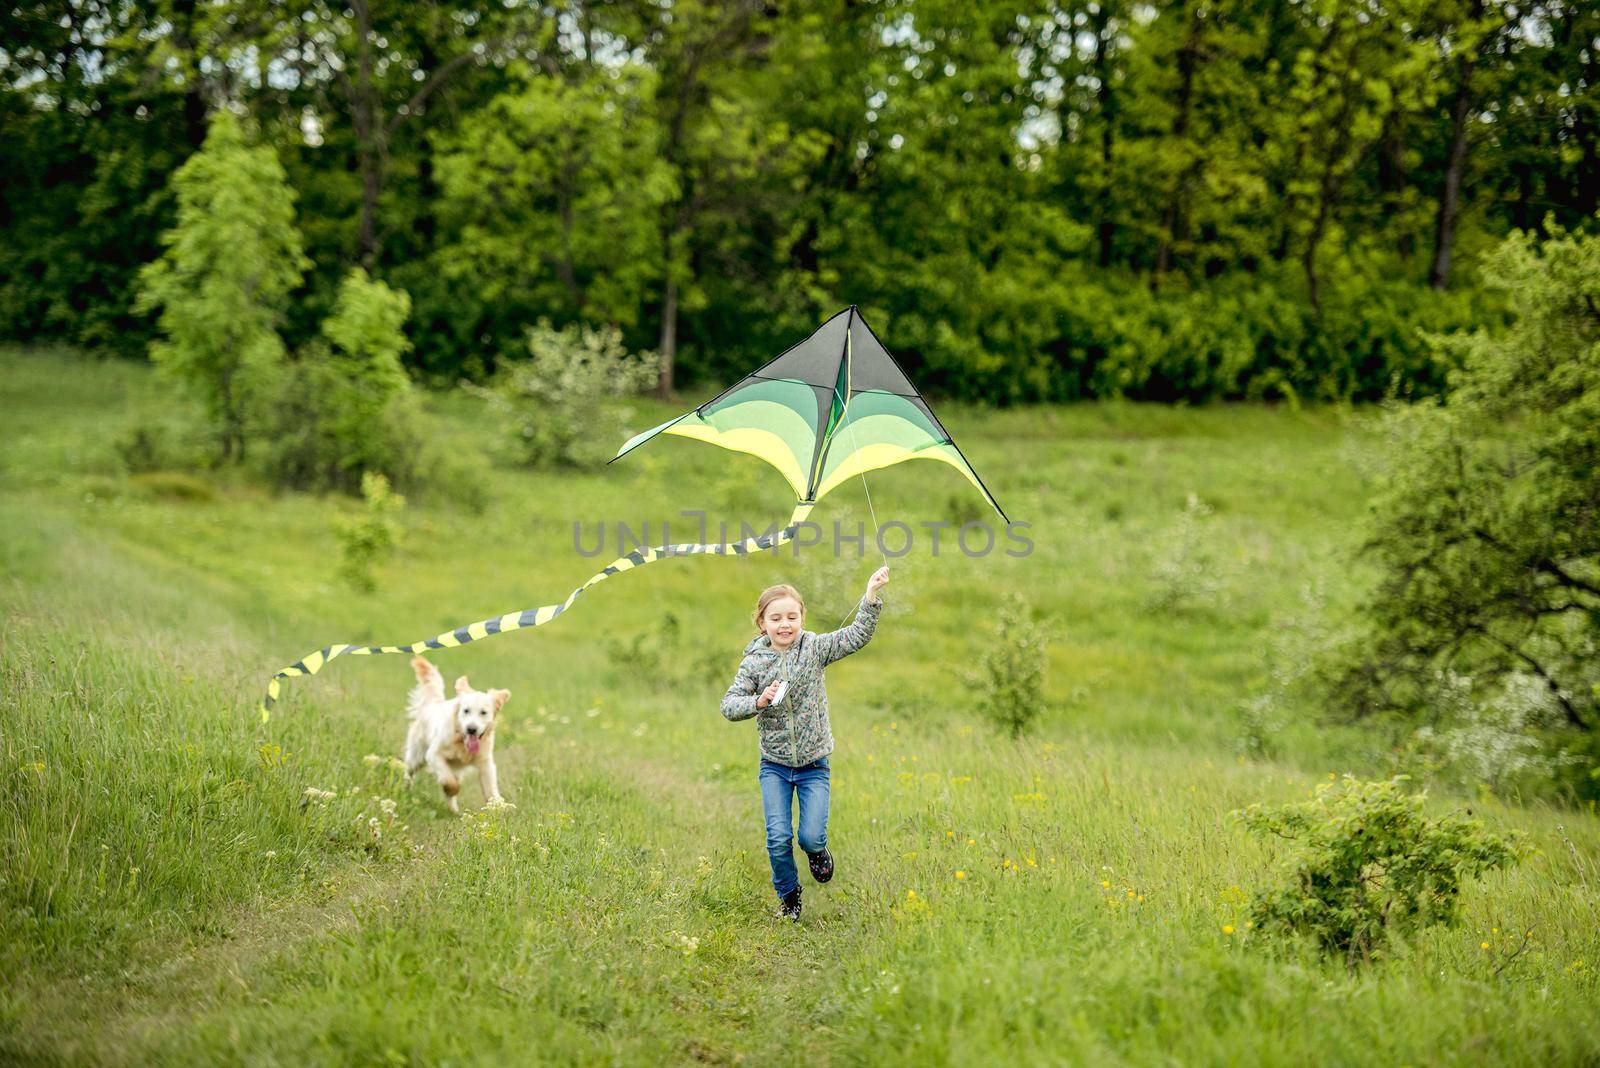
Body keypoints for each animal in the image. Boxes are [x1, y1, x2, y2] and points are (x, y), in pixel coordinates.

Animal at [406, 655, 512, 812]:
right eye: (466, 710)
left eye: (483, 712)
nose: (471, 729)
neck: (461, 742)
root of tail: (432, 705)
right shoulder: (433, 754)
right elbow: (449, 781)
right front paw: (451, 789)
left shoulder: (485, 763)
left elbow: (491, 790)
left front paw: (498, 805)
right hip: (417, 756)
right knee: (408, 771)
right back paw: (405, 788)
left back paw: (454, 811)